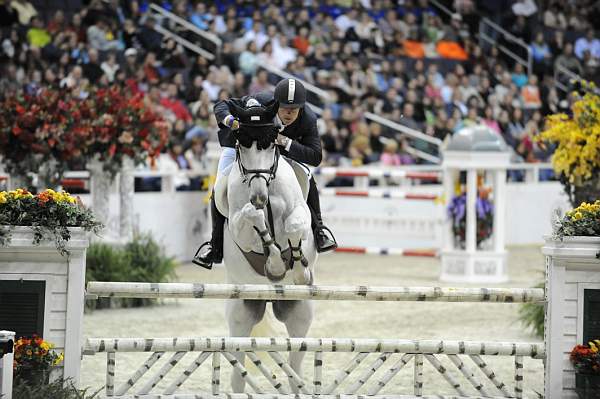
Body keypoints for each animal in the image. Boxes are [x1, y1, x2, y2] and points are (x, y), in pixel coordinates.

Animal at [214, 106, 318, 394]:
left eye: (270, 145)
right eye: (241, 144)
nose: (259, 196)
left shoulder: (301, 215)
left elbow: (294, 226)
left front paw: (298, 270)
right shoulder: (240, 228)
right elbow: (254, 218)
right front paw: (274, 266)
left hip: (300, 312)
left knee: (295, 370)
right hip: (240, 314)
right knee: (238, 375)